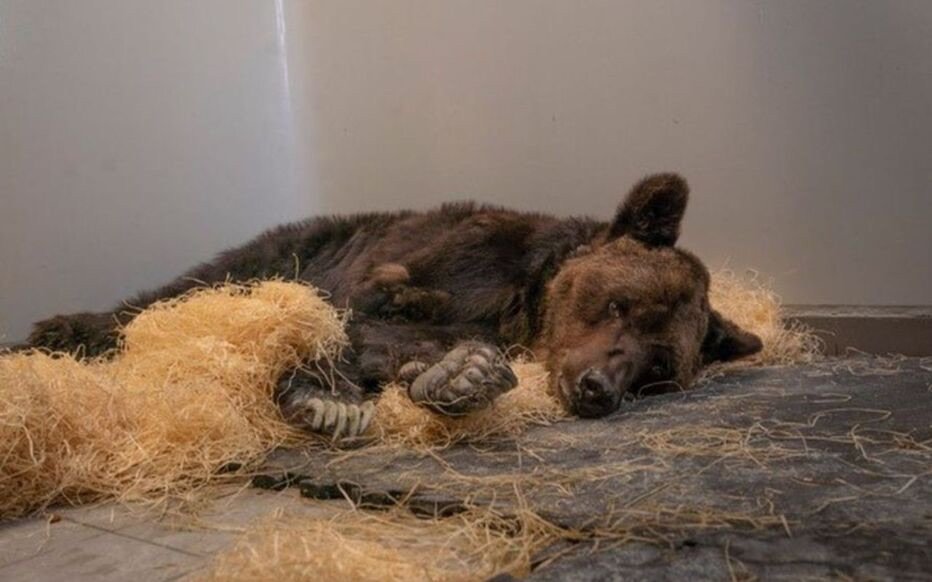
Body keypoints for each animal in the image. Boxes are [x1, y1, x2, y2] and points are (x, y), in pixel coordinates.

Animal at [25, 173, 760, 438]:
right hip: (281, 252)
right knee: (180, 291)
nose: (599, 385)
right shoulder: (454, 265)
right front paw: (458, 369)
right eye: (619, 305)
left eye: (657, 365)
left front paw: (459, 374)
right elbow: (381, 314)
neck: (525, 303)